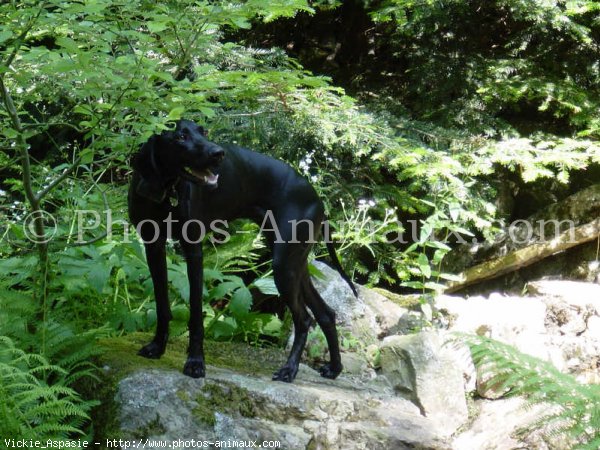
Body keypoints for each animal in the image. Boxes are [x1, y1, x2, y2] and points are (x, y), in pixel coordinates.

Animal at [127, 118, 356, 382]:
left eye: (203, 131)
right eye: (180, 137)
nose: (219, 153)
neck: (166, 190)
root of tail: (318, 201)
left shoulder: (193, 251)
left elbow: (195, 314)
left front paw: (195, 362)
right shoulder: (153, 247)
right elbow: (162, 306)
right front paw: (157, 347)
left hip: (284, 266)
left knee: (305, 319)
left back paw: (290, 369)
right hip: (294, 265)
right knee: (326, 314)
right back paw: (335, 368)